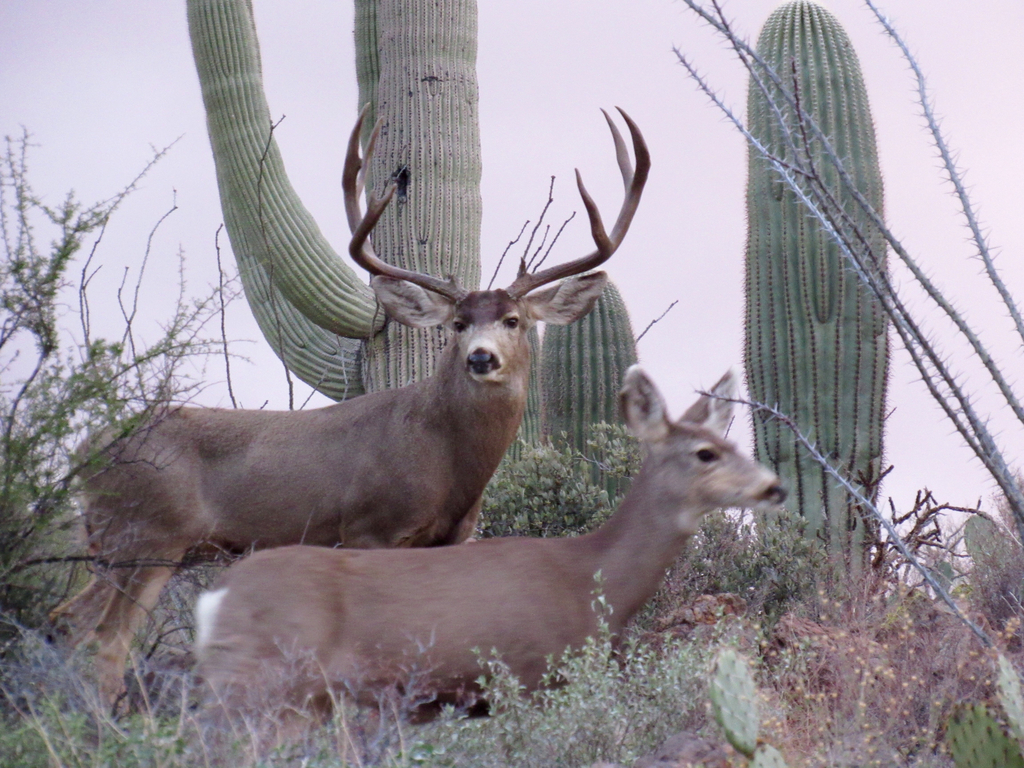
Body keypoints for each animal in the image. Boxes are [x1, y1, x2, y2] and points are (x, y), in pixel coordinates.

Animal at [52, 107, 650, 707]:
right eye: (458, 324)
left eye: (514, 320)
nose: (481, 358)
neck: (445, 458)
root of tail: (84, 450)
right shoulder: (369, 527)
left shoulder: (451, 538)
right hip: (145, 535)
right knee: (100, 636)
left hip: (124, 543)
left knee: (70, 621)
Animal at [194, 367, 786, 723]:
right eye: (705, 453)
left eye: (734, 444)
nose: (773, 487)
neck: (589, 579)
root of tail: (216, 600)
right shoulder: (526, 677)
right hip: (260, 681)